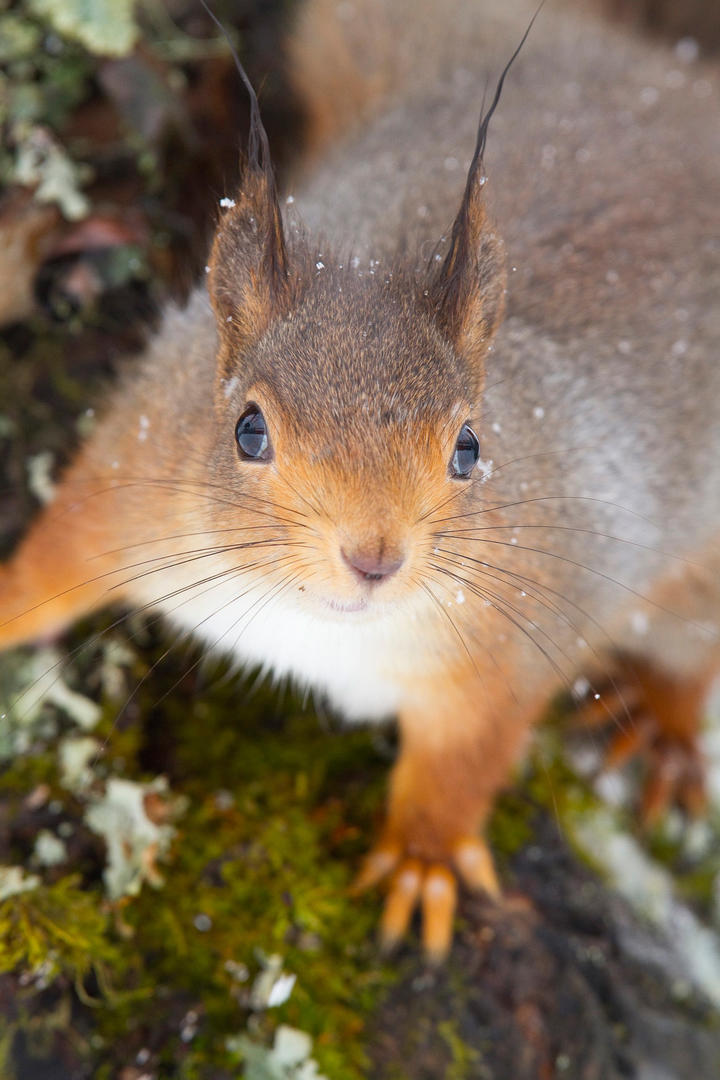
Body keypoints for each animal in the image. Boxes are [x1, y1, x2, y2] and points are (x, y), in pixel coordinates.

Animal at [1, 0, 720, 963]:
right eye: (249, 430)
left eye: (468, 446)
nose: (374, 557)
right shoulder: (137, 471)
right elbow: (58, 555)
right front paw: (4, 605)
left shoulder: (520, 630)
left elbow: (465, 759)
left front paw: (424, 858)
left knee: (690, 649)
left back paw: (662, 728)